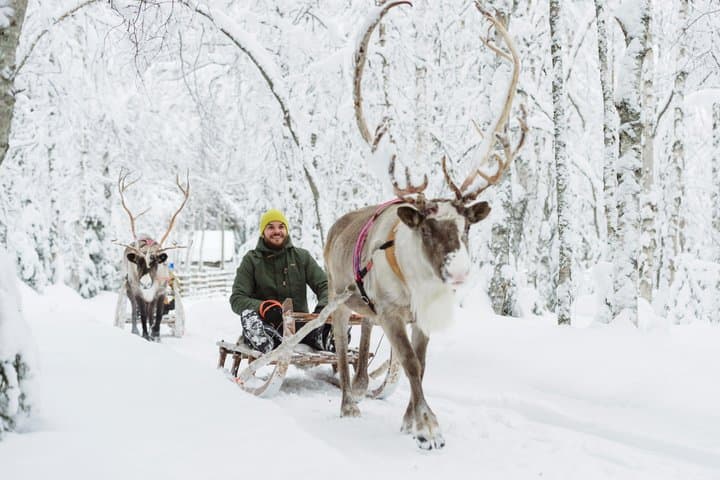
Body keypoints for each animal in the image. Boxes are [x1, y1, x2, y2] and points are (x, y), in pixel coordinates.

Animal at [116, 169, 190, 342]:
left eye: (155, 261)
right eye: (137, 261)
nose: (145, 283)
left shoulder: (161, 292)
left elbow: (158, 316)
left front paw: (155, 335)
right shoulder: (138, 291)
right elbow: (142, 315)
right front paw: (145, 334)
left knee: (152, 313)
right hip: (129, 288)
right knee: (135, 311)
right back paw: (135, 330)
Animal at [323, 1, 526, 450]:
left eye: (467, 227)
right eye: (428, 229)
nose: (460, 272)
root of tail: (337, 226)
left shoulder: (419, 315)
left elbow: (420, 362)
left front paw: (409, 420)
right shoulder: (393, 312)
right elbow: (411, 364)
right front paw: (428, 428)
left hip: (366, 307)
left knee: (365, 335)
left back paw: (362, 384)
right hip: (336, 297)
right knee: (344, 350)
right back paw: (348, 402)